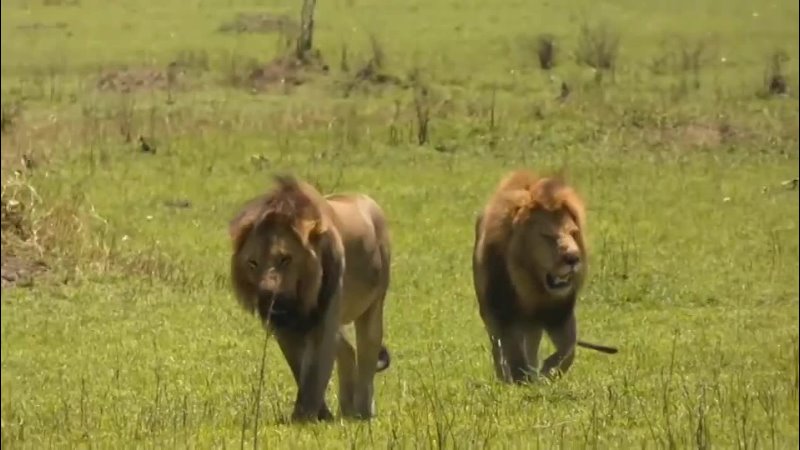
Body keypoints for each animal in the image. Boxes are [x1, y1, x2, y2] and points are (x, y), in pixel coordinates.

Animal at [228, 174, 390, 420]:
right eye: (252, 263)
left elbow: (314, 369)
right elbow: (298, 366)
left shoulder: (325, 315)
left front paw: (304, 417)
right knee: (347, 351)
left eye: (285, 259)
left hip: (373, 304)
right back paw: (347, 410)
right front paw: (321, 414)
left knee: (367, 351)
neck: (299, 300)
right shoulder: (282, 326)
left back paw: (362, 412)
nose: (267, 297)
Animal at [468, 169, 620, 384]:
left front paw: (547, 371)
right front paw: (520, 380)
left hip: (533, 325)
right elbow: (512, 352)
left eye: (573, 233)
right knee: (498, 349)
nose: (574, 258)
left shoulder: (559, 313)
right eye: (547, 236)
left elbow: (569, 348)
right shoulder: (504, 313)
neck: (532, 289)